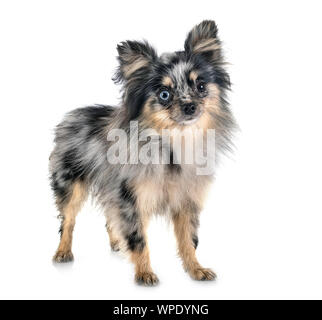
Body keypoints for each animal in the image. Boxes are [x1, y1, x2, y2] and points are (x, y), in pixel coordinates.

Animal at [49, 20, 235, 284]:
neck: (173, 142)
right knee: (68, 220)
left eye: (201, 86)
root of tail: (71, 115)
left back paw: (116, 243)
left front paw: (195, 269)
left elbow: (189, 240)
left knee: (109, 218)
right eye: (164, 94)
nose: (190, 106)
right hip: (70, 186)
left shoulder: (186, 200)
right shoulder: (131, 199)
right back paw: (63, 251)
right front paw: (145, 273)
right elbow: (139, 240)